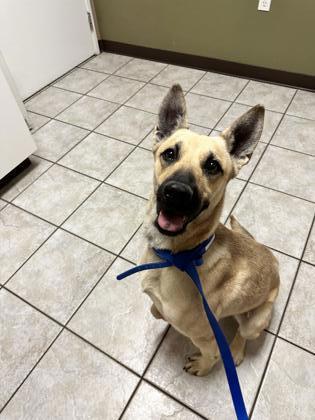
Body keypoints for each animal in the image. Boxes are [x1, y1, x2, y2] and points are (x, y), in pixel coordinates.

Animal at [141, 84, 282, 378]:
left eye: (212, 166)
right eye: (169, 154)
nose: (176, 193)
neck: (179, 256)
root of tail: (274, 261)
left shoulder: (206, 338)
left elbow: (212, 355)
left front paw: (202, 367)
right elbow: (154, 309)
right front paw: (158, 312)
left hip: (256, 320)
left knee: (242, 332)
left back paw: (237, 351)